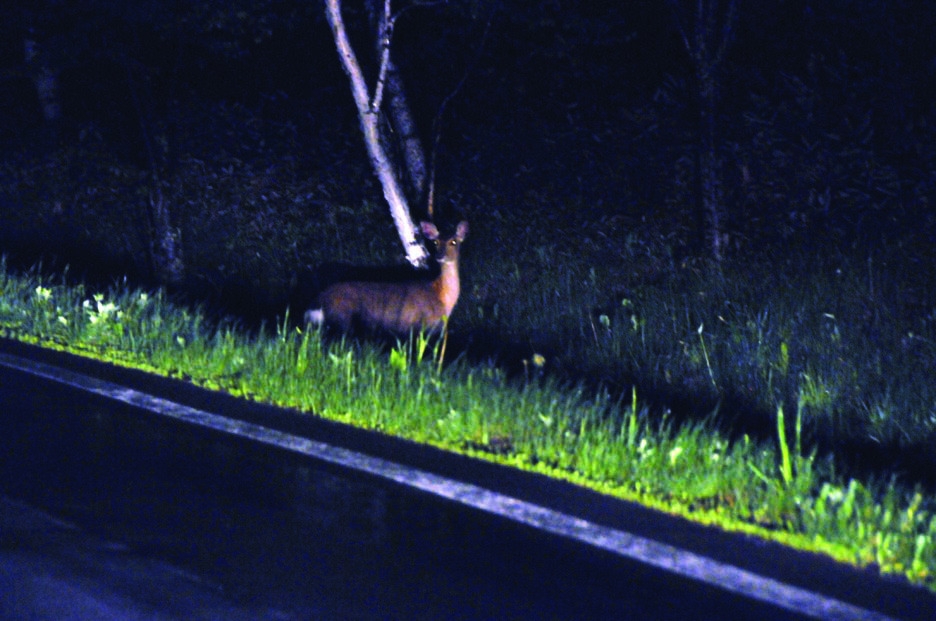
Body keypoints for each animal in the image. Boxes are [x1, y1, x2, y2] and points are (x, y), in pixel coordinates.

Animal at [305, 221, 468, 335]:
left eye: (454, 241)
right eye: (435, 242)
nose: (439, 256)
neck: (441, 295)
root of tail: (318, 302)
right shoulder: (424, 325)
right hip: (342, 318)